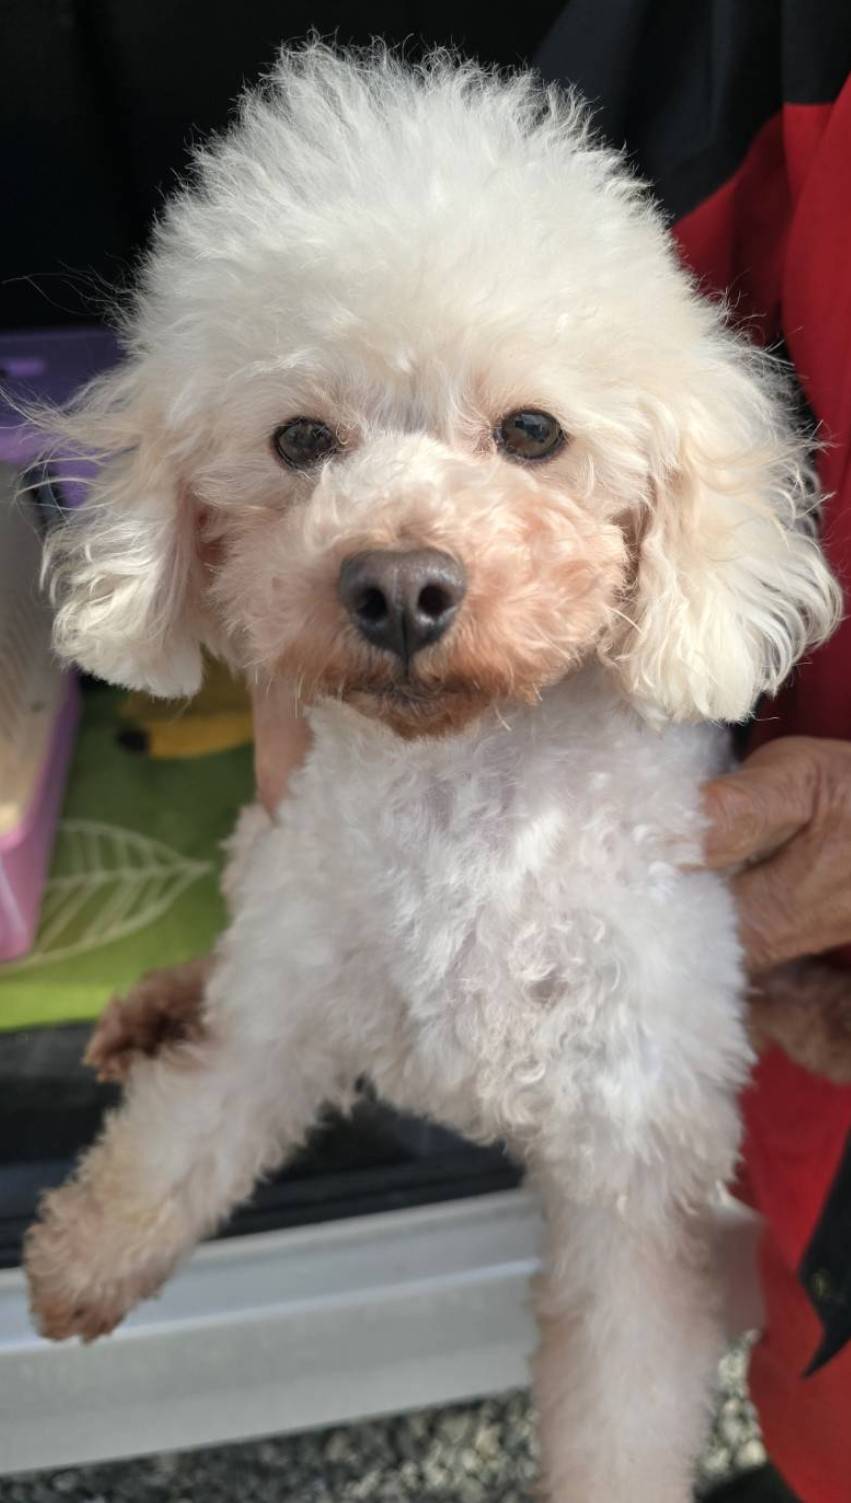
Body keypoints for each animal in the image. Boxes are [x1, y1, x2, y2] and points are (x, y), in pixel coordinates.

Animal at [24, 46, 841, 1500]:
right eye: (301, 440)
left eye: (532, 431)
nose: (399, 585)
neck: (462, 795)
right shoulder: (284, 1002)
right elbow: (186, 1128)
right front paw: (84, 1258)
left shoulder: (628, 1165)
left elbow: (623, 1397)